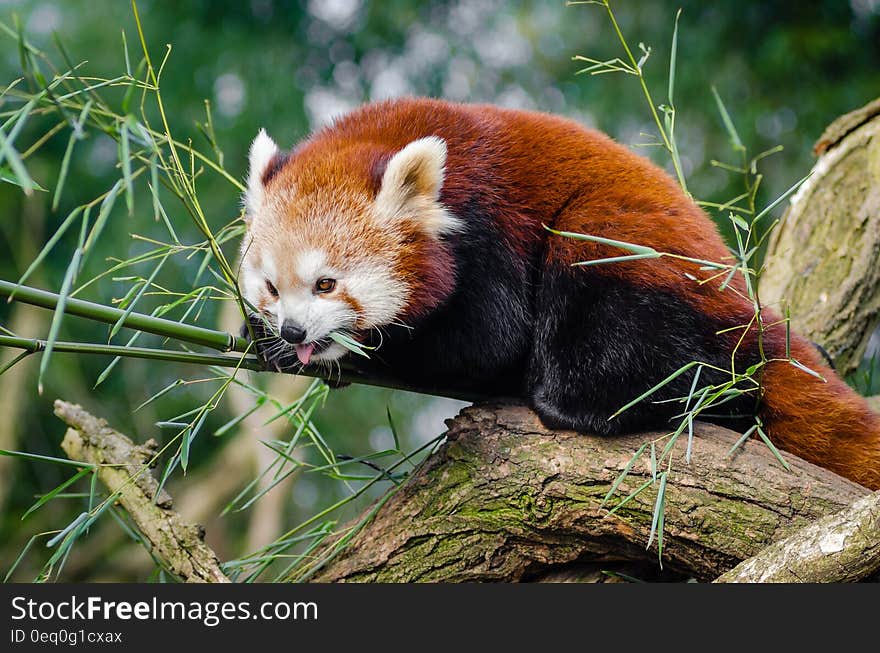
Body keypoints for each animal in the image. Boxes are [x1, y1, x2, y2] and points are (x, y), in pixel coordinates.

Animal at [239, 98, 880, 488]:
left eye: (327, 284)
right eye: (271, 287)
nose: (294, 332)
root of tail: (751, 318)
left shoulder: (490, 230)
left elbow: (487, 341)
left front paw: (375, 348)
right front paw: (261, 340)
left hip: (632, 256)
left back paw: (571, 401)